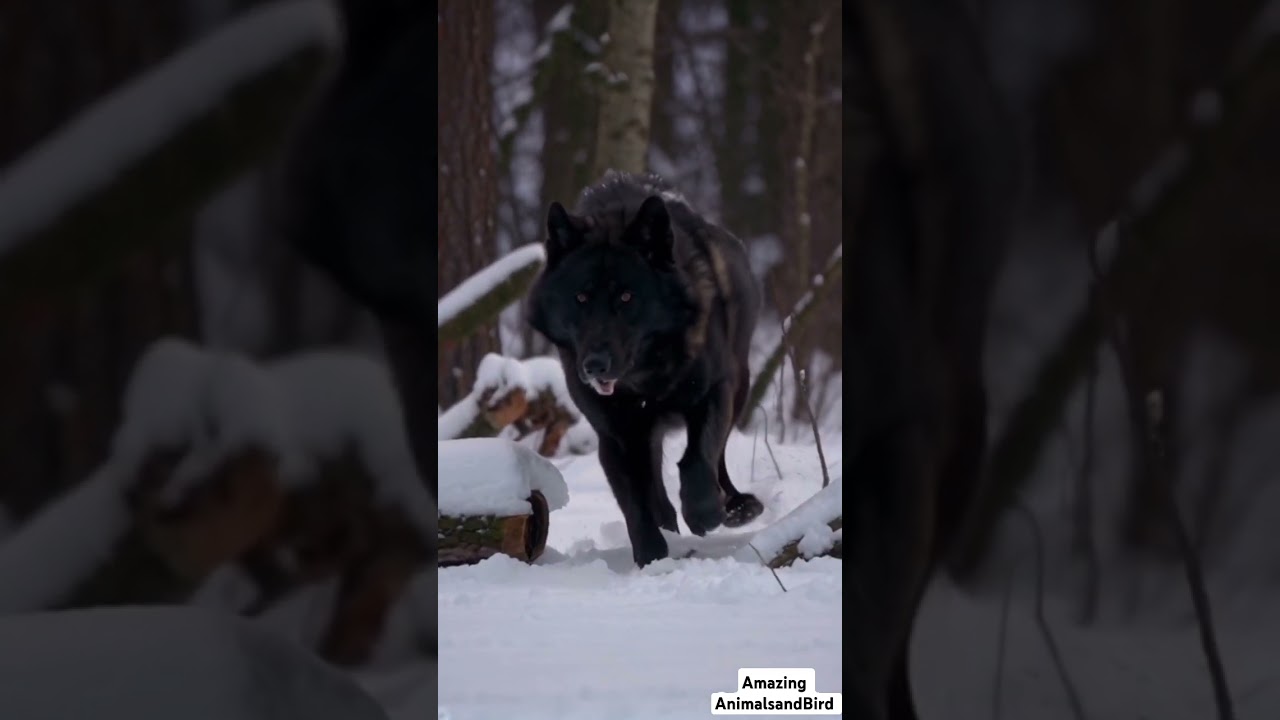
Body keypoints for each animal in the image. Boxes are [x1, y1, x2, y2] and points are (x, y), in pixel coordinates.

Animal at [526, 172, 766, 567]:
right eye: (581, 297)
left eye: (626, 297)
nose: (594, 365)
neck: (644, 381)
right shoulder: (616, 435)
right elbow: (634, 504)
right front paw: (652, 558)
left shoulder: (713, 391)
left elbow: (698, 457)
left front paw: (704, 512)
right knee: (654, 483)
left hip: (740, 387)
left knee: (717, 457)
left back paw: (734, 506)